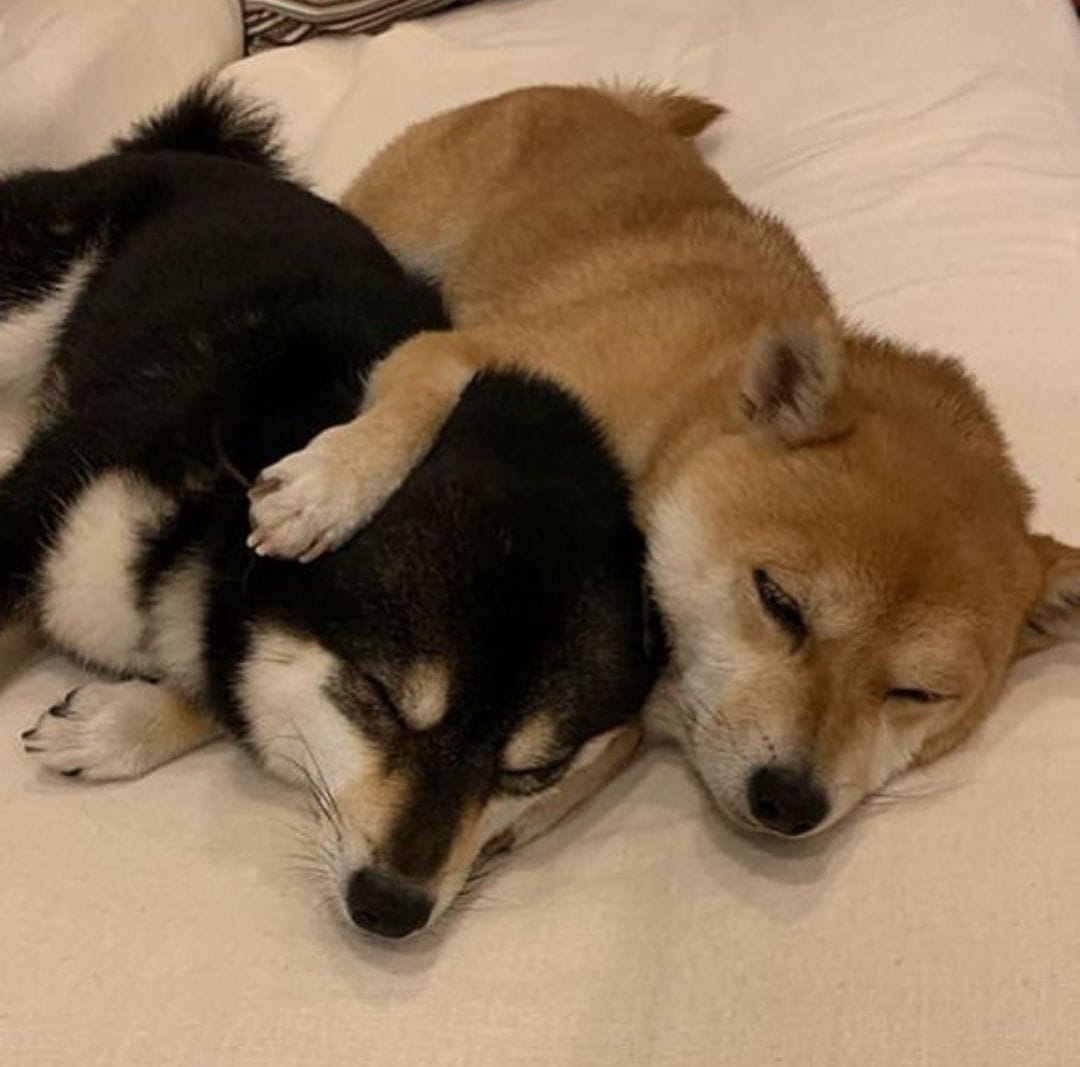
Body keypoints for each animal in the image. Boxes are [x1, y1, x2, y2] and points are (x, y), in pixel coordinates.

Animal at [0, 83, 659, 938]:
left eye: (533, 771)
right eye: (379, 700)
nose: (391, 907)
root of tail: (190, 148)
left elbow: (224, 689)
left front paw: (122, 724)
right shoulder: (46, 499)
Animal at [247, 84, 1080, 838]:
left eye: (917, 694)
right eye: (779, 602)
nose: (791, 801)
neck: (690, 397)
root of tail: (594, 94)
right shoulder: (461, 354)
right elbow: (408, 414)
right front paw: (324, 489)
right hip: (400, 218)